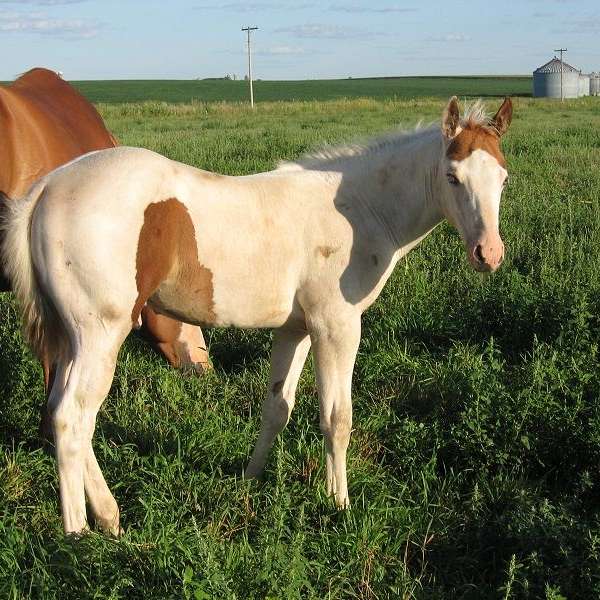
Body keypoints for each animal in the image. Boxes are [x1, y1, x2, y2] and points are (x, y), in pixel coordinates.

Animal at [2, 97, 512, 536]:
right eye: (452, 176)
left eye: (503, 178)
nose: (488, 254)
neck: (359, 208)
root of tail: (46, 188)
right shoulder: (336, 327)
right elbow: (337, 418)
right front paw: (339, 504)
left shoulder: (297, 329)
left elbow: (277, 409)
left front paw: (249, 481)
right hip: (101, 334)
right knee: (73, 418)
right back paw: (79, 532)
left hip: (72, 340)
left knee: (59, 411)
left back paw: (107, 516)